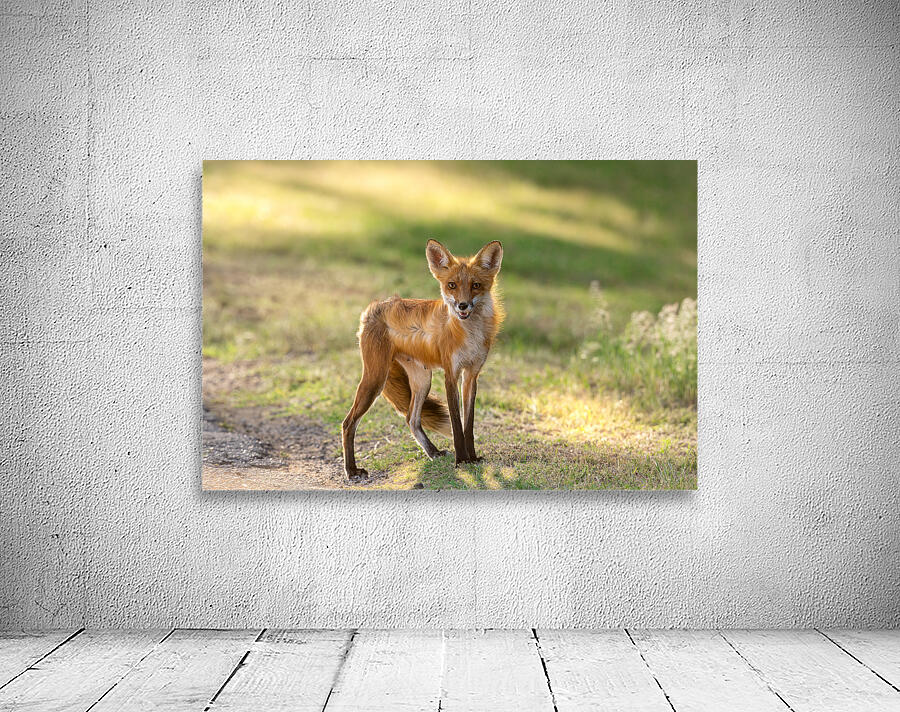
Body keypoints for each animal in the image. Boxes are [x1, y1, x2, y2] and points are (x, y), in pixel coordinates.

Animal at [342, 239, 505, 479]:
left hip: (422, 381)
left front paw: (473, 458)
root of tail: (374, 307)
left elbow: (469, 425)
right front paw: (461, 460)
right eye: (452, 285)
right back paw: (352, 470)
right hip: (376, 379)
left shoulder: (471, 375)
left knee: (411, 419)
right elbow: (456, 425)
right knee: (348, 423)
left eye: (475, 285)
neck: (469, 334)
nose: (462, 305)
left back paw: (433, 452)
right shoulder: (450, 374)